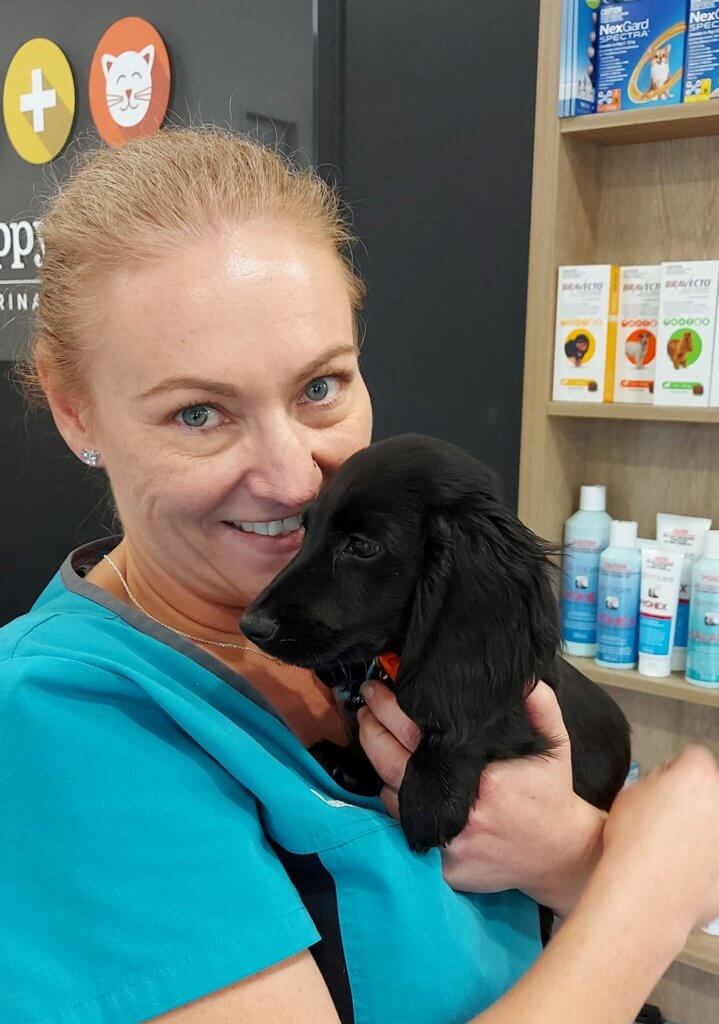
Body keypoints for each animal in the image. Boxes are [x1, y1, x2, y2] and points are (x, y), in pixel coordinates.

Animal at [241, 432, 630, 856]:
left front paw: (432, 793)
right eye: (305, 530)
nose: (251, 625)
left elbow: (480, 717)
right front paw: (353, 760)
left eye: (361, 546)